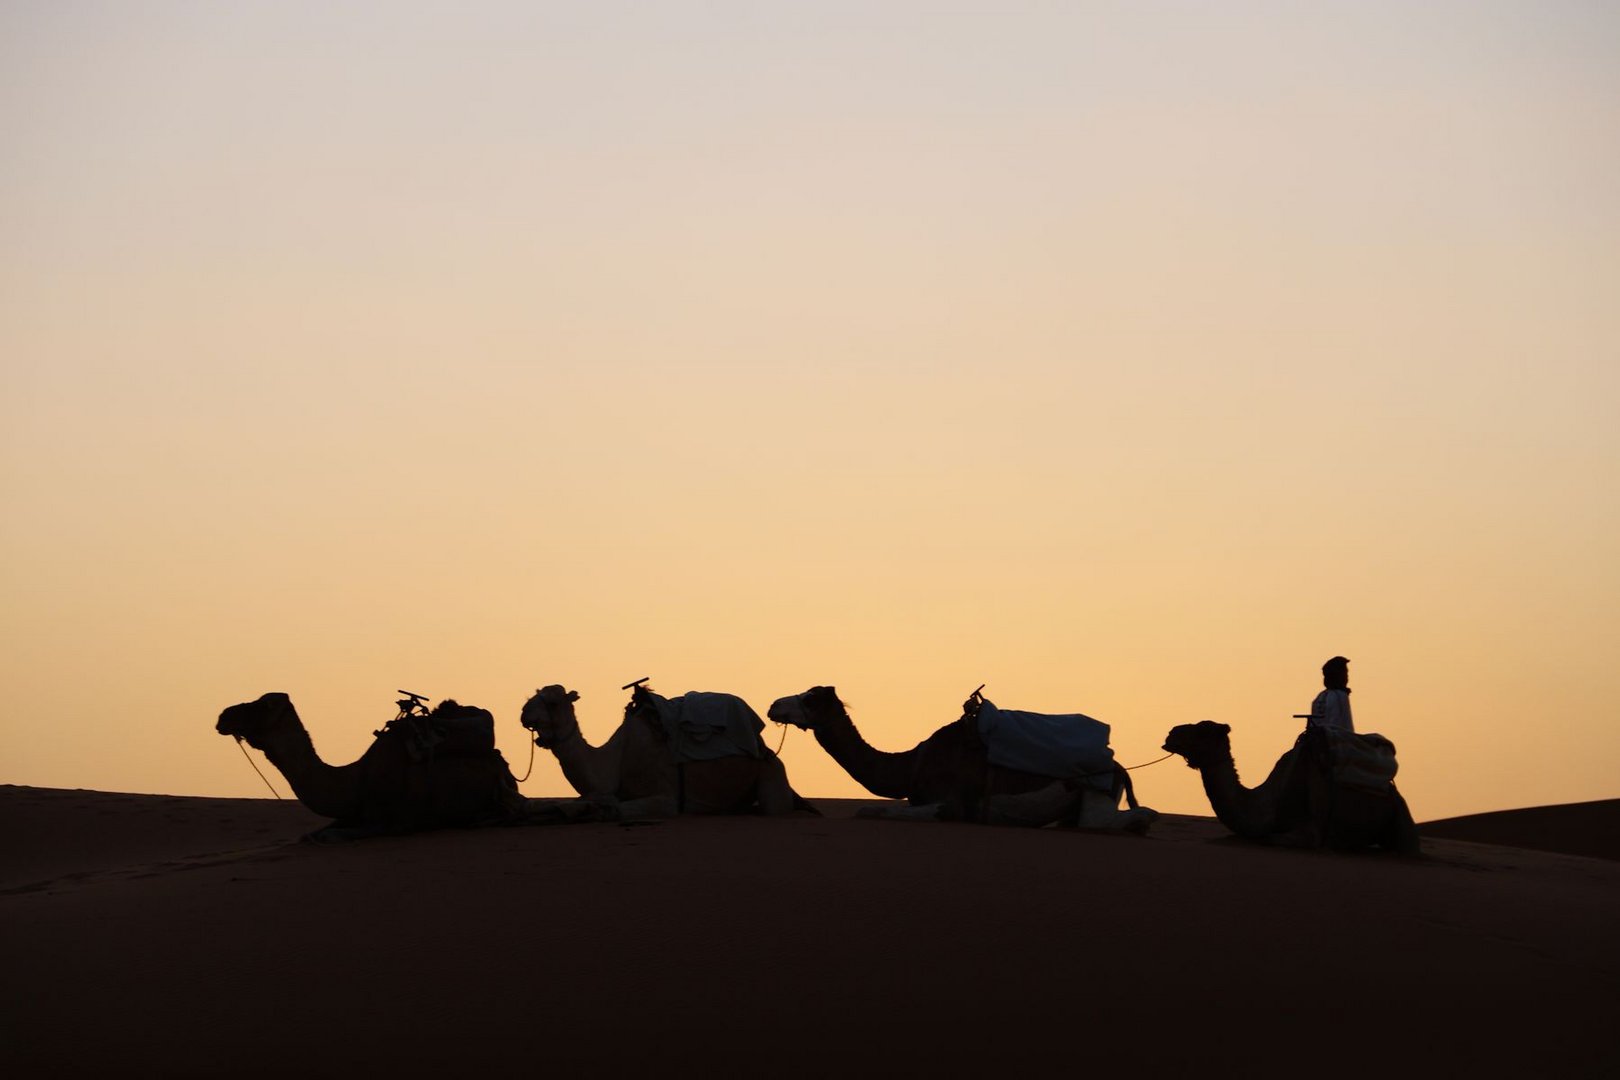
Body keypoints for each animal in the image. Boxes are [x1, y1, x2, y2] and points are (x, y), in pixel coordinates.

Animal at [218, 693, 609, 841]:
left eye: (262, 704)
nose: (224, 715)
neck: (355, 778)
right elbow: (315, 833)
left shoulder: (390, 821)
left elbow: (330, 835)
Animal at [518, 683, 816, 819]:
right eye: (532, 696)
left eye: (553, 702)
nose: (524, 713)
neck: (614, 761)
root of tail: (765, 747)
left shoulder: (665, 796)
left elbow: (616, 807)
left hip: (772, 772)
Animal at [767, 689, 1159, 835]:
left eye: (809, 698)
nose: (774, 705)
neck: (911, 764)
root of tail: (1118, 767)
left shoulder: (950, 803)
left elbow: (872, 810)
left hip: (1097, 793)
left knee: (1122, 818)